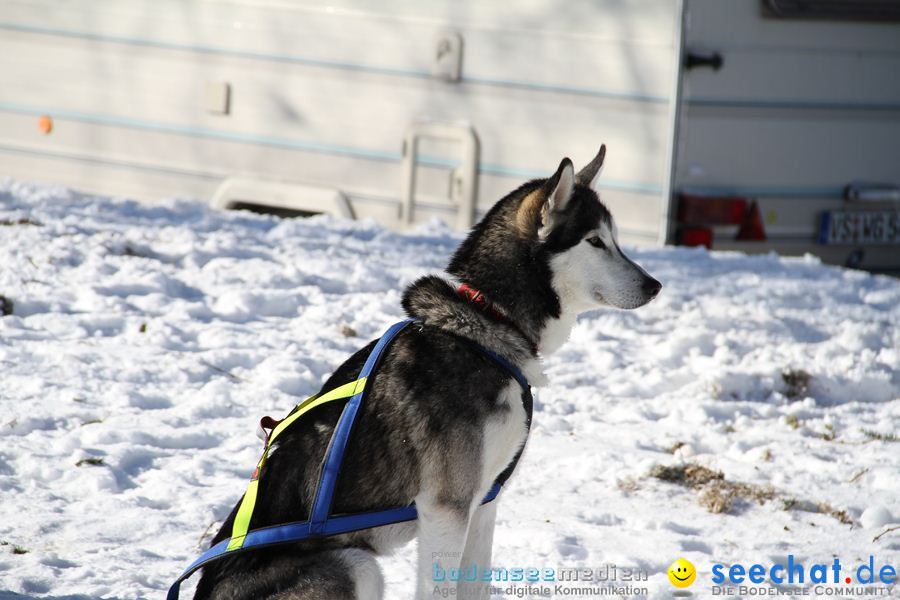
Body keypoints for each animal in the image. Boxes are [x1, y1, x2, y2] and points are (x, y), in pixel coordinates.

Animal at [193, 146, 660, 600]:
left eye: (616, 240)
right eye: (596, 241)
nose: (655, 285)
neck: (491, 325)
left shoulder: (484, 503)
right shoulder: (446, 508)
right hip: (357, 565)